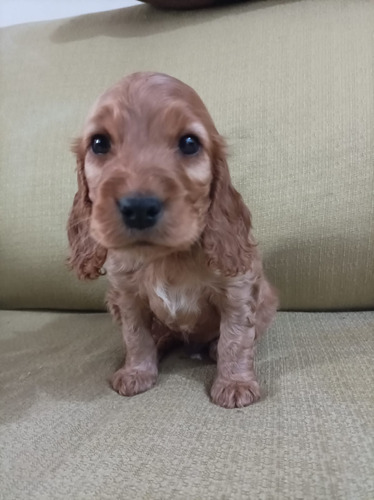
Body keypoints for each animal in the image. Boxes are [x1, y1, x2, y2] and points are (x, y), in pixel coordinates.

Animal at [67, 71, 278, 406]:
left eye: (189, 143)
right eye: (99, 143)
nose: (139, 207)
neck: (164, 257)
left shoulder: (238, 289)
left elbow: (235, 338)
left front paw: (234, 383)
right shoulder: (126, 296)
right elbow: (136, 336)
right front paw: (137, 371)